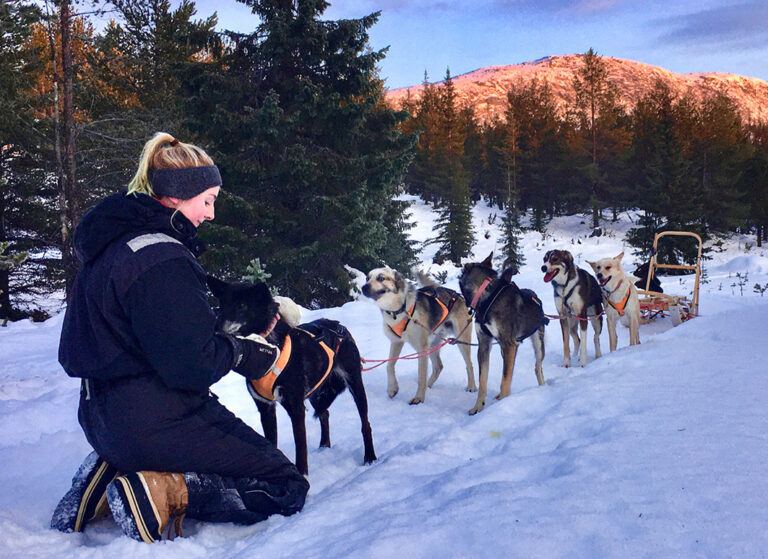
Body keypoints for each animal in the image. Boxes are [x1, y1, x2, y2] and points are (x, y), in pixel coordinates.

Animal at [206, 278, 376, 474]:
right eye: (222, 304)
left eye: (241, 305)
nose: (215, 327)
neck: (272, 346)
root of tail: (338, 326)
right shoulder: (266, 408)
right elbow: (272, 443)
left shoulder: (295, 407)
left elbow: (300, 449)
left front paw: (303, 475)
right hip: (315, 393)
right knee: (324, 413)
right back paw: (324, 445)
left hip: (354, 384)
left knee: (365, 424)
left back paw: (370, 457)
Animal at [360, 268, 474, 404]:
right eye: (367, 278)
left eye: (381, 278)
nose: (363, 287)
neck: (399, 310)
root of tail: (457, 295)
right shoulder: (396, 342)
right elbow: (389, 365)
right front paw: (392, 388)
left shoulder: (421, 348)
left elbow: (421, 376)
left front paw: (419, 398)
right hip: (433, 344)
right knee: (438, 366)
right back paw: (429, 385)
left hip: (461, 340)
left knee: (469, 364)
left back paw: (472, 387)